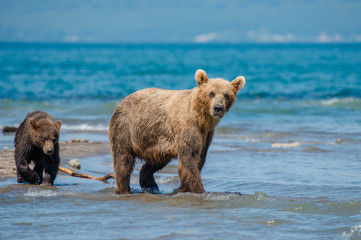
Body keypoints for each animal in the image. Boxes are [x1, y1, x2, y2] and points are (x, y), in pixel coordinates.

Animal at [109, 69, 245, 193]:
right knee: (123, 159)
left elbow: (198, 159)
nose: (218, 108)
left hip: (156, 142)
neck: (202, 120)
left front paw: (182, 188)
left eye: (226, 95)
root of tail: (123, 100)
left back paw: (150, 184)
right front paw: (200, 190)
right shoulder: (187, 127)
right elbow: (189, 159)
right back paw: (124, 189)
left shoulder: (206, 135)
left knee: (155, 162)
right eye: (211, 93)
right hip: (126, 127)